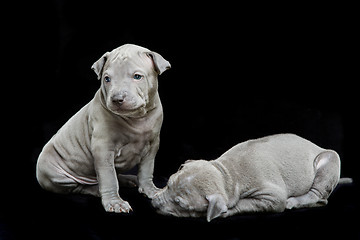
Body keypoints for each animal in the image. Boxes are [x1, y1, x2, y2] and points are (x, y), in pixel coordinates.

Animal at [36, 44, 170, 213]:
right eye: (107, 79)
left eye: (137, 77)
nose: (117, 99)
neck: (136, 118)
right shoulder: (103, 149)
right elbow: (109, 178)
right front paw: (115, 202)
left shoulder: (153, 145)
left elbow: (147, 170)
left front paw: (150, 190)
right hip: (55, 175)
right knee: (80, 187)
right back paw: (97, 190)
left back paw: (129, 179)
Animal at [153, 133, 352, 221]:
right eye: (168, 184)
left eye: (179, 204)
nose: (153, 203)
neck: (227, 173)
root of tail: (317, 146)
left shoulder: (272, 196)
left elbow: (246, 203)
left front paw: (227, 211)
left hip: (329, 160)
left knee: (318, 195)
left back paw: (295, 201)